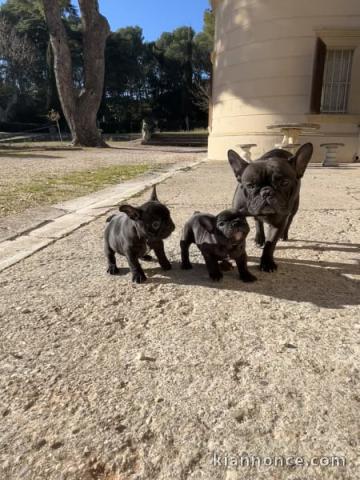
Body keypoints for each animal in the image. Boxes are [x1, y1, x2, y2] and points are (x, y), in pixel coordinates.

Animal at [229, 142, 314, 274]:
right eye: (251, 185)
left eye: (284, 183)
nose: (266, 192)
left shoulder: (278, 222)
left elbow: (270, 244)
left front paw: (267, 262)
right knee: (258, 221)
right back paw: (259, 238)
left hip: (293, 208)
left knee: (289, 221)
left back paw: (284, 236)